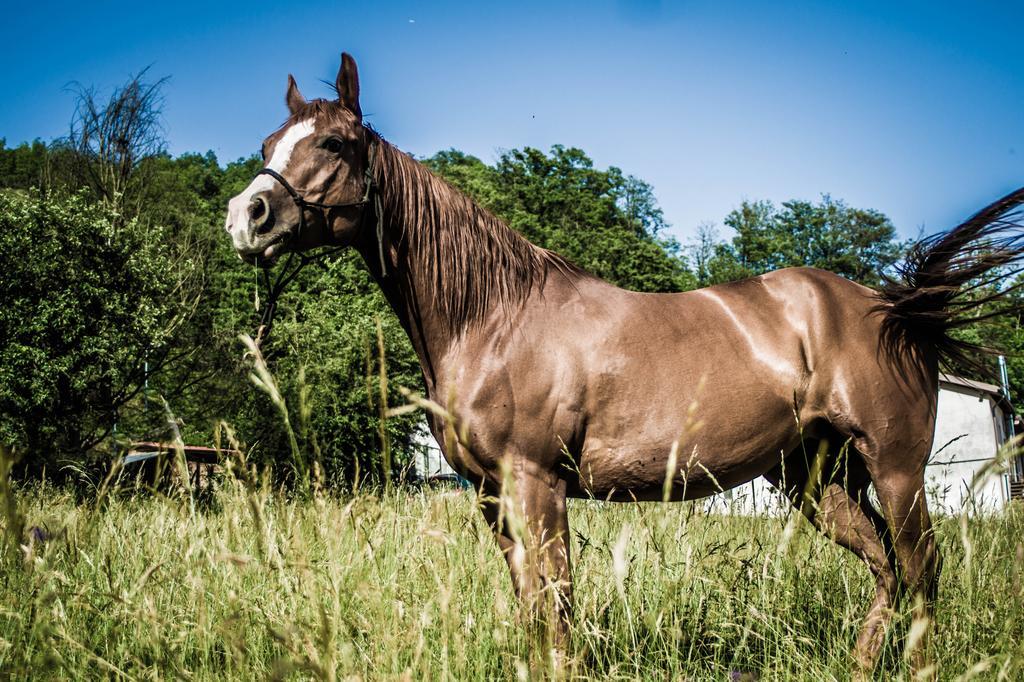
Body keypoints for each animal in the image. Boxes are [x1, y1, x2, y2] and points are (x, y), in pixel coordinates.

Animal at [224, 51, 1024, 675]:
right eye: (270, 139)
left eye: (334, 142)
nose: (246, 217)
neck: (494, 315)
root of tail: (890, 309)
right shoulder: (491, 496)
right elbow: (532, 611)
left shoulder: (537, 485)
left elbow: (558, 611)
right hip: (816, 479)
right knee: (887, 570)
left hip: (895, 469)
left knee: (921, 571)